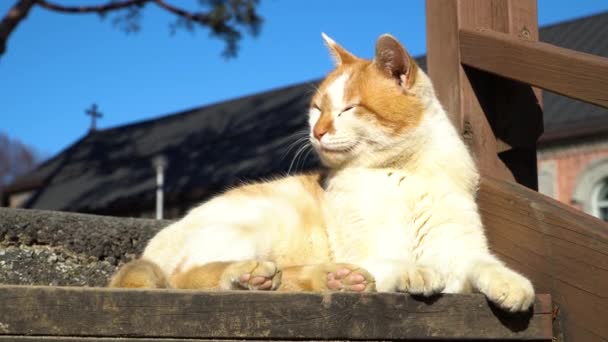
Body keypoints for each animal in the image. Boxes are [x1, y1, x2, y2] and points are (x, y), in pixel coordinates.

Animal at [111, 33, 536, 312]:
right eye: (317, 109)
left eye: (347, 109)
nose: (316, 131)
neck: (402, 172)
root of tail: (153, 245)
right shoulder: (368, 251)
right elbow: (395, 263)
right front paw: (415, 271)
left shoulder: (459, 249)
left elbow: (483, 264)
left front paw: (511, 284)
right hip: (256, 224)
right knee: (185, 277)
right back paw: (251, 275)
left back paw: (333, 279)